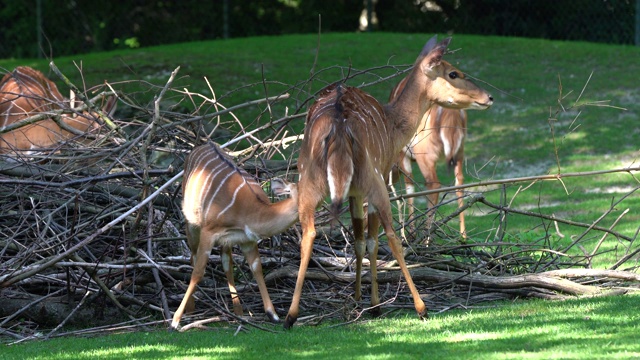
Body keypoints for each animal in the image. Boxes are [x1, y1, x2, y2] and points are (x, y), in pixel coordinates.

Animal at [171, 142, 298, 330]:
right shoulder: (209, 232)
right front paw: (174, 321)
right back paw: (191, 309)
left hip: (226, 241)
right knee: (192, 258)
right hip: (192, 224)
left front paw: (273, 315)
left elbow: (256, 268)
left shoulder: (247, 239)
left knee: (227, 264)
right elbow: (199, 271)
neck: (249, 210)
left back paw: (238, 312)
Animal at [388, 75, 482, 239]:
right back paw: (463, 237)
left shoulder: (403, 156)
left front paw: (410, 234)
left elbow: (409, 189)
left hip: (425, 154)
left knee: (434, 185)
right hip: (459, 152)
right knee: (459, 182)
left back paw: (427, 238)